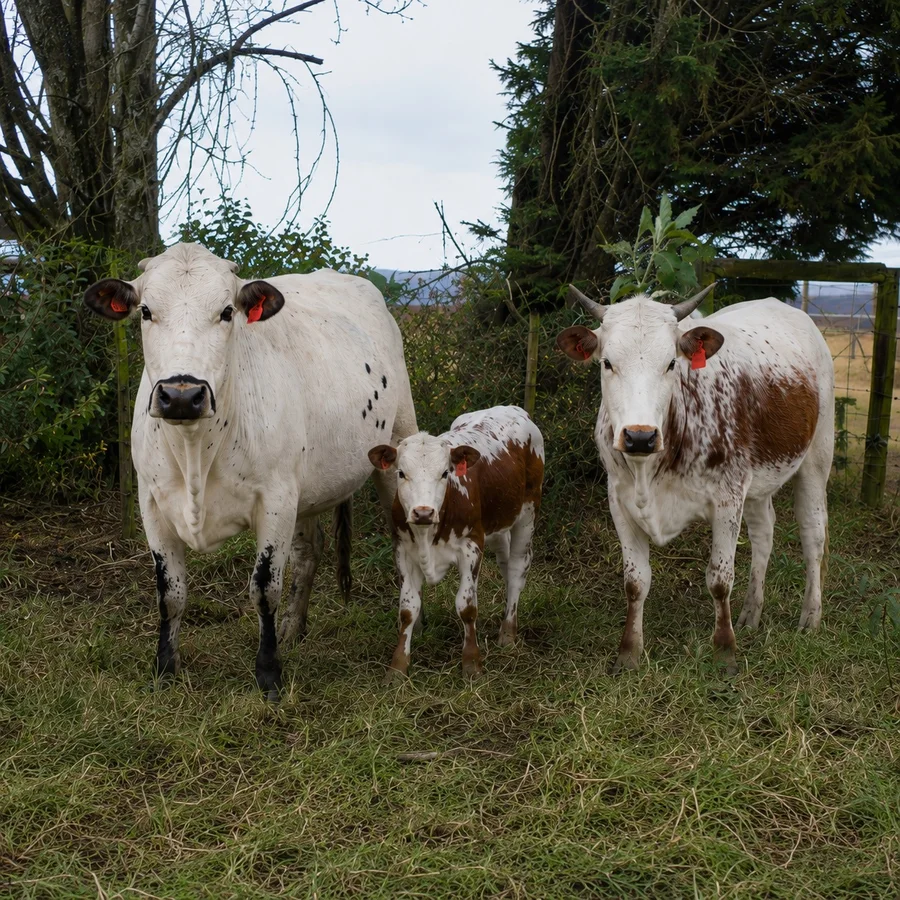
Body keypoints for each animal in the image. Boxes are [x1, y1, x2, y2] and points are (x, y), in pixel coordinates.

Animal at [84, 243, 417, 700]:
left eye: (227, 311)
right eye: (146, 311)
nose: (182, 395)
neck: (196, 450)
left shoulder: (275, 500)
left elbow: (264, 589)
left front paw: (269, 673)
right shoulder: (151, 502)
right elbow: (170, 592)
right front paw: (165, 669)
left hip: (397, 448)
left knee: (405, 549)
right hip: (306, 489)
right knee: (309, 552)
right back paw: (293, 629)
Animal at [367, 406, 544, 682]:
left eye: (445, 473)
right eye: (401, 473)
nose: (423, 512)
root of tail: (511, 408)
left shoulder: (471, 547)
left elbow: (466, 606)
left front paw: (472, 664)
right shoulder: (403, 551)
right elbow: (408, 609)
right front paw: (397, 669)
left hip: (528, 510)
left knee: (517, 569)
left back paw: (508, 633)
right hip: (497, 524)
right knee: (505, 563)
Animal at [556, 285, 834, 675]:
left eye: (672, 363)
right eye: (607, 363)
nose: (639, 437)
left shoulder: (727, 498)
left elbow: (719, 579)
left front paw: (725, 652)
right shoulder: (619, 500)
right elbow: (635, 582)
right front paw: (629, 652)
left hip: (816, 457)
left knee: (813, 534)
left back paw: (811, 616)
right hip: (757, 484)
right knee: (764, 534)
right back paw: (751, 613)